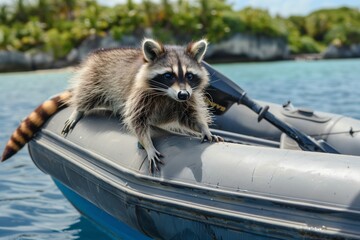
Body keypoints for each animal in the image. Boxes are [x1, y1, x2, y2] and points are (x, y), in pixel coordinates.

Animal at [1, 38, 222, 172]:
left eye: (189, 75)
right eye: (168, 75)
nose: (183, 94)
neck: (167, 95)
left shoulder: (187, 99)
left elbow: (191, 116)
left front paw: (204, 128)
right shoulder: (138, 96)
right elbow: (137, 121)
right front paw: (148, 144)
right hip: (95, 78)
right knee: (87, 94)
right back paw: (78, 109)